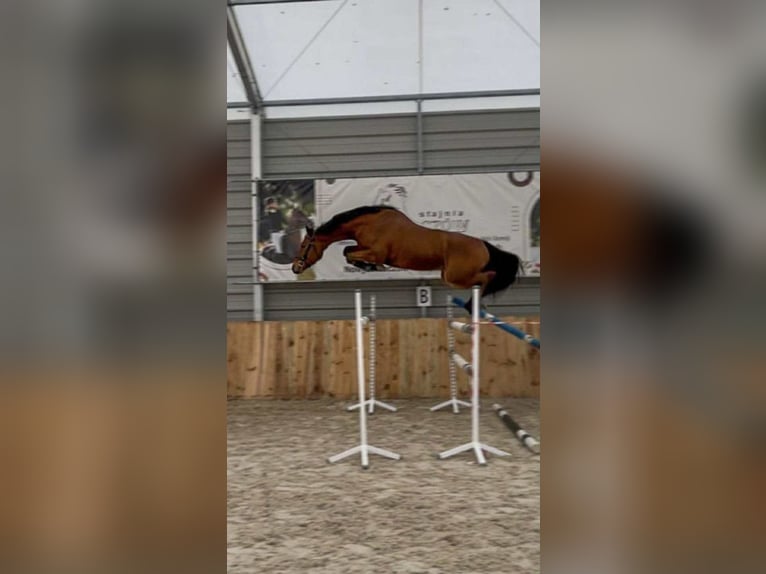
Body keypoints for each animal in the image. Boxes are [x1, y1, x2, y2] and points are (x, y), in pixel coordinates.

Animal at [291, 205, 522, 310]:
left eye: (303, 245)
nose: (295, 267)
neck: (369, 223)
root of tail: (483, 244)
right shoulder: (362, 246)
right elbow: (347, 251)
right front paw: (366, 266)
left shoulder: (376, 252)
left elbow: (350, 253)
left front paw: (373, 267)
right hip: (449, 276)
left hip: (457, 277)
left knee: (488, 276)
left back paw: (471, 305)